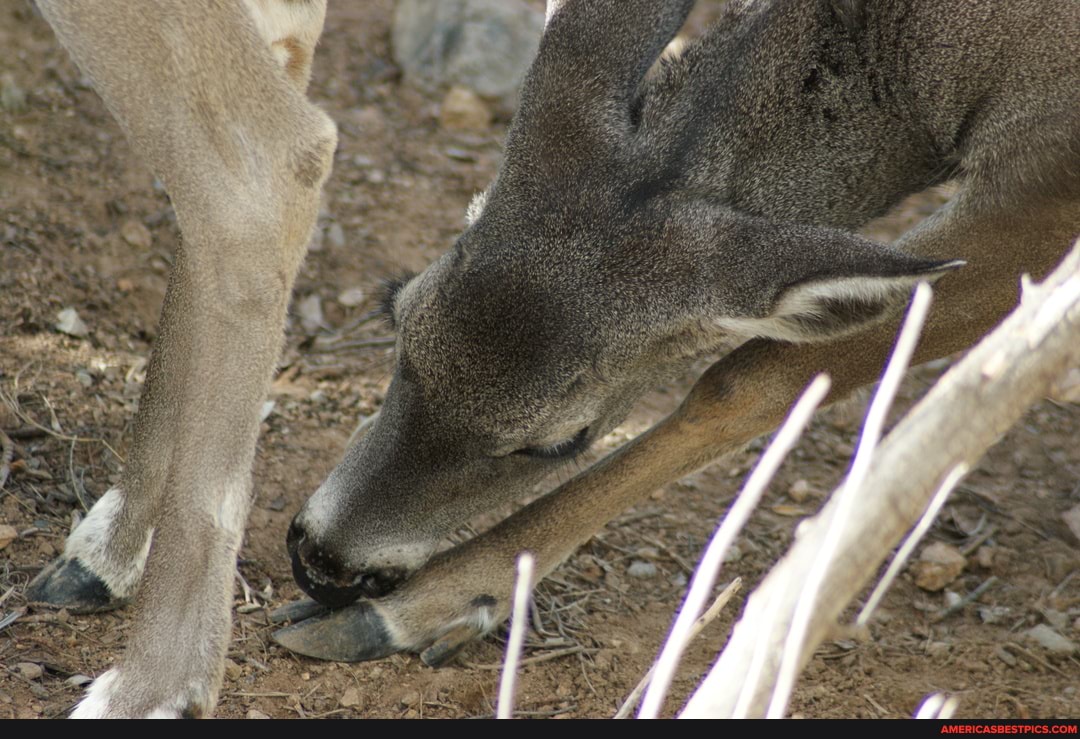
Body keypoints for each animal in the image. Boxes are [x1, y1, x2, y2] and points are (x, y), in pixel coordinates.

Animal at [25, 0, 1080, 721]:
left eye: (558, 439)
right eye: (398, 312)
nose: (321, 560)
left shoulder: (1049, 177)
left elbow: (758, 372)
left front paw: (429, 604)